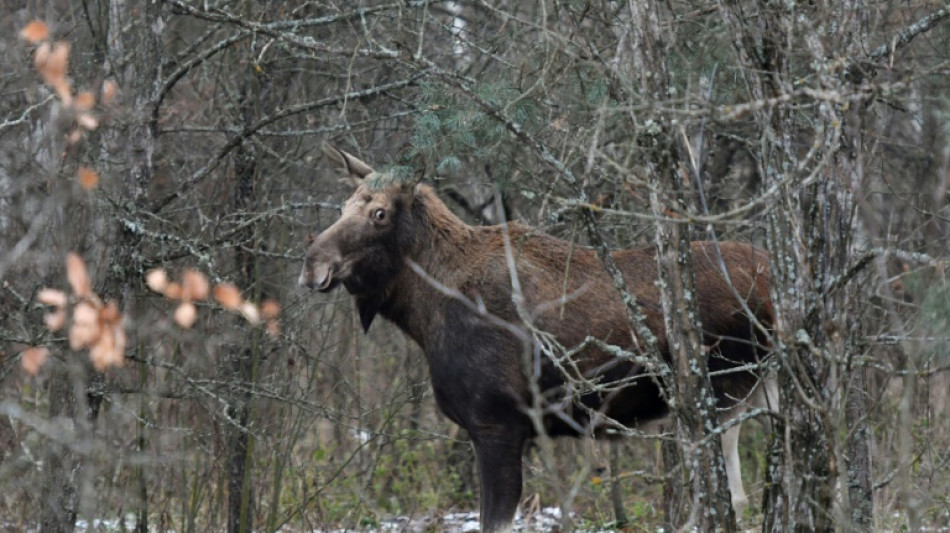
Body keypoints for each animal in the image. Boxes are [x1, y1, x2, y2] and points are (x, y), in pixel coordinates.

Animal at [300, 144, 775, 532]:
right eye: (342, 207)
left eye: (379, 213)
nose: (312, 263)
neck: (424, 314)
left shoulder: (498, 425)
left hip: (725, 390)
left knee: (733, 498)